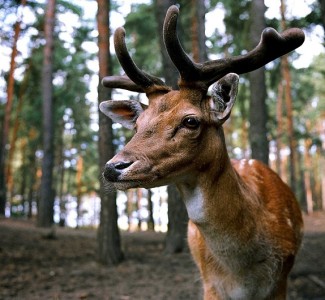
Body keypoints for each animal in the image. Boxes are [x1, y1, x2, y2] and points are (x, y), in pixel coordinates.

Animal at [98, 4, 304, 300]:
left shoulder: (281, 280)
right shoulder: (210, 285)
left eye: (190, 120)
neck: (242, 275)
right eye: (137, 124)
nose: (113, 167)